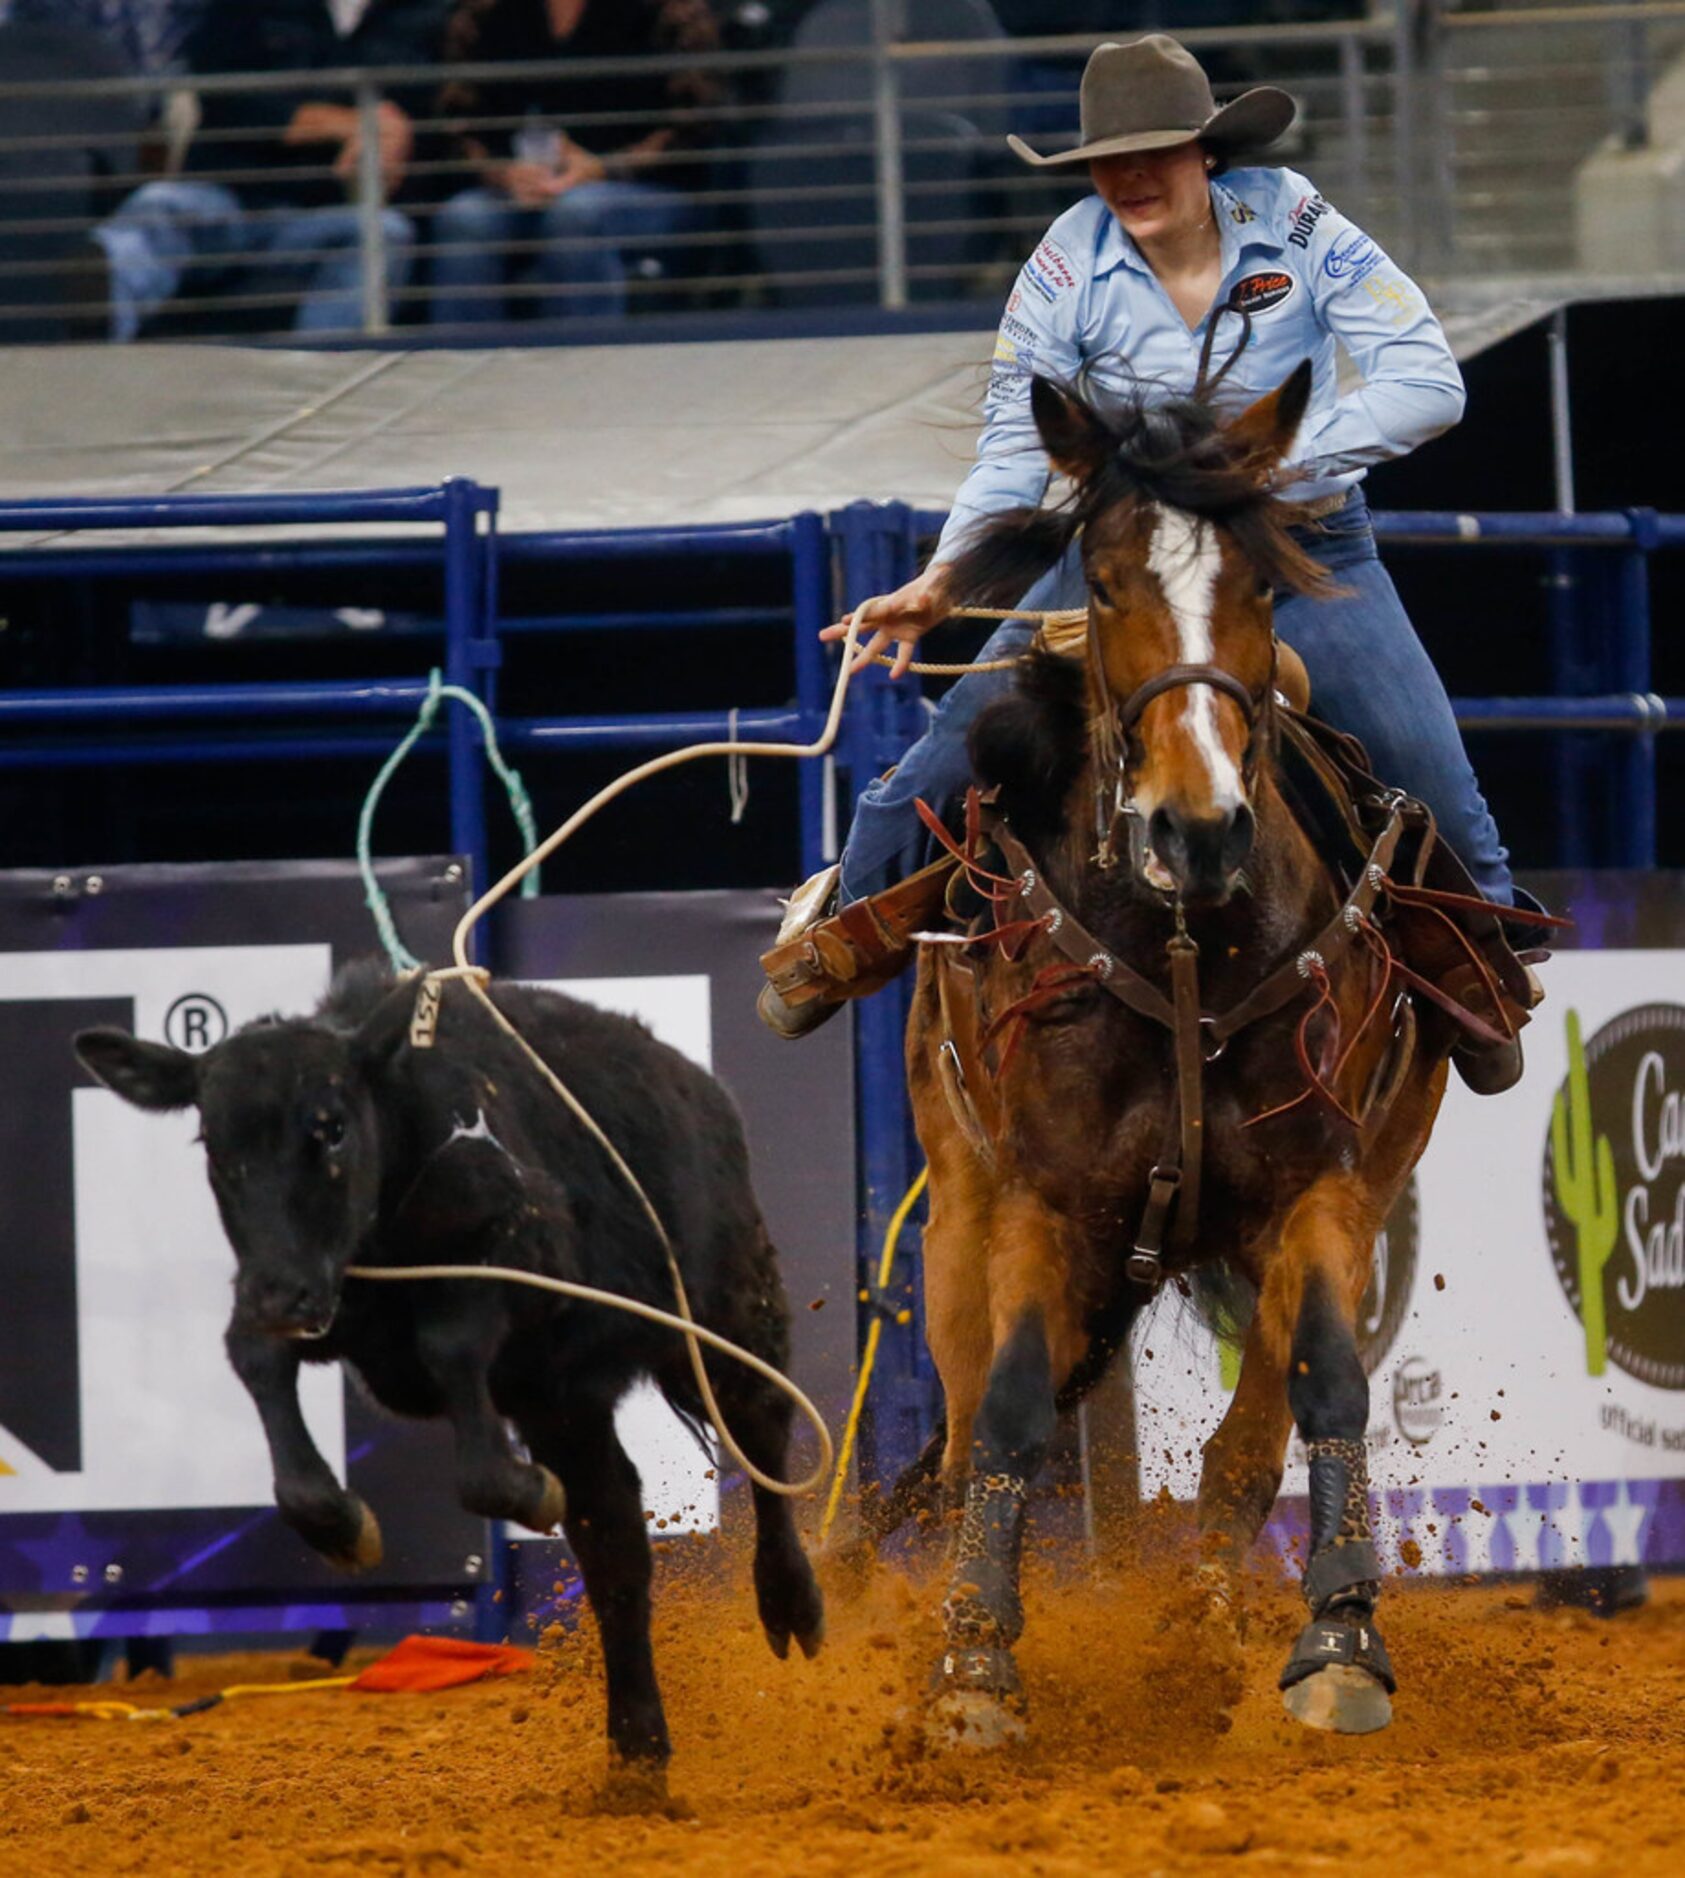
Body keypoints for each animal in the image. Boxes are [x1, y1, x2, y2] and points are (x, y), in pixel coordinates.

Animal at [909, 358, 1442, 1735]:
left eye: (1259, 585)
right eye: (1097, 582)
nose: (1195, 827)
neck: (1185, 941)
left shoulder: (1319, 1190)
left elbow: (1321, 1388)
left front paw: (1339, 1640)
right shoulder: (1035, 1203)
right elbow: (1008, 1415)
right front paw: (972, 1664)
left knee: (1242, 1445)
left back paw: (1203, 1626)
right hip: (954, 1206)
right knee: (957, 1432)